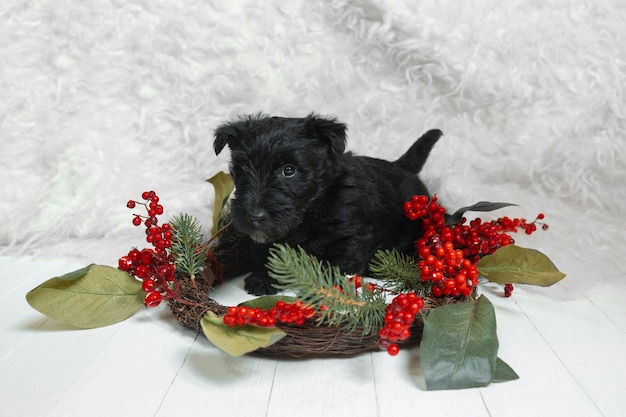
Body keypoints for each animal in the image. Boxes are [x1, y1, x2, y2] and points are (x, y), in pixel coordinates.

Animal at [214, 112, 438, 294]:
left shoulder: (351, 237)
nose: (254, 217)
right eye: (243, 168)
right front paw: (264, 277)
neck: (314, 207)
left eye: (289, 170)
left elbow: (332, 264)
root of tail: (402, 166)